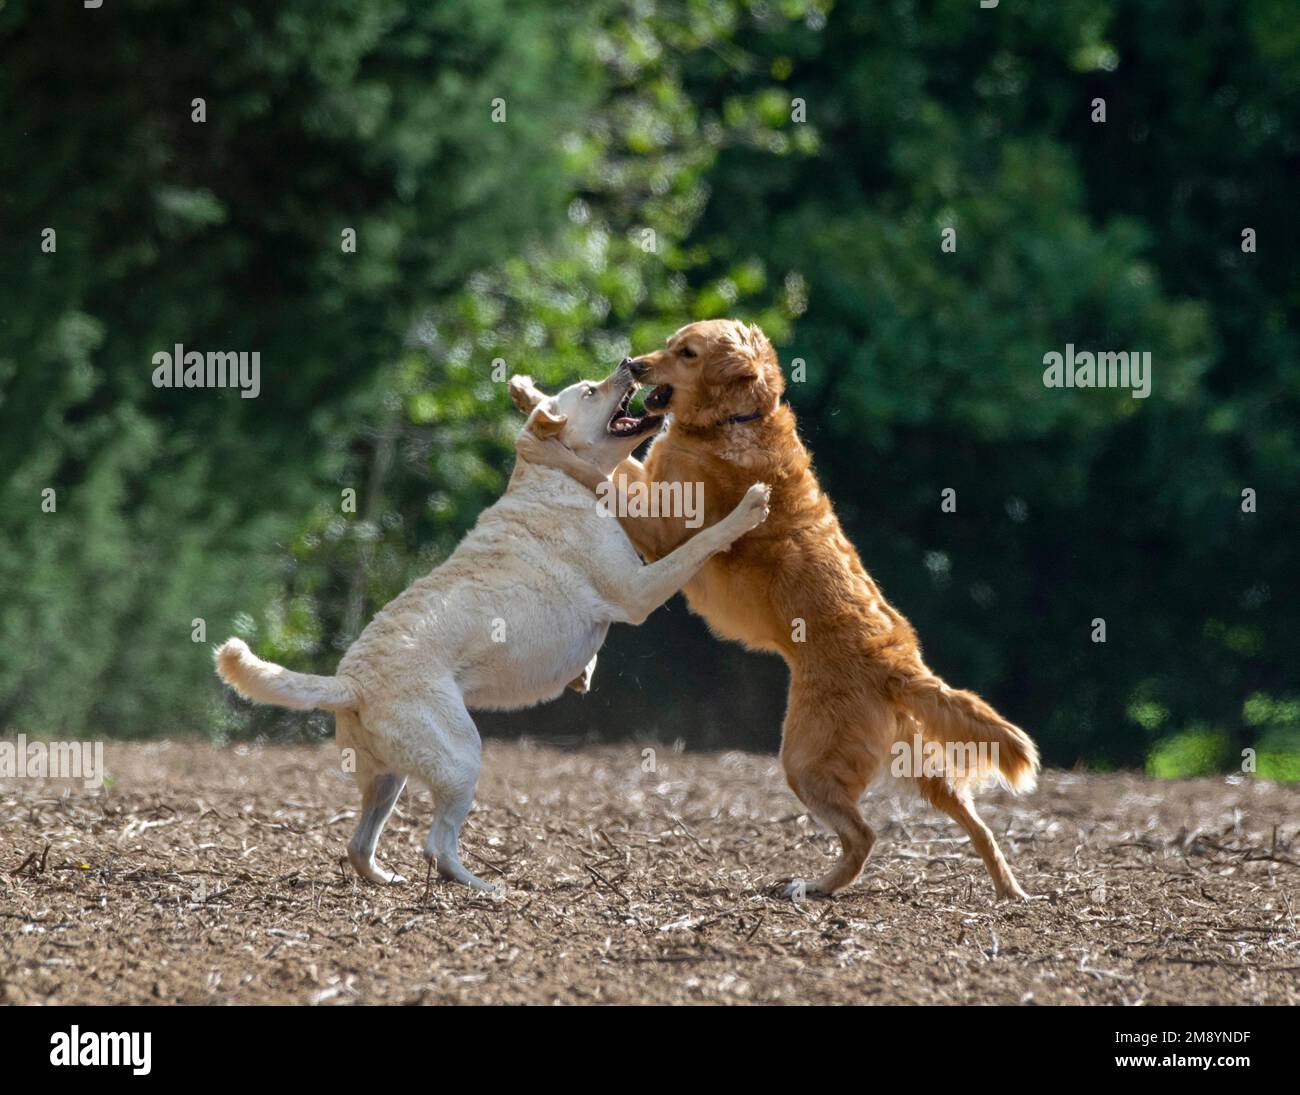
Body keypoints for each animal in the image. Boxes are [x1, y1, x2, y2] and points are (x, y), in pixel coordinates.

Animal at [215, 361, 769, 889]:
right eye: (591, 390)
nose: (630, 362)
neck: (555, 478)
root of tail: (350, 681)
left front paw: (583, 674)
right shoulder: (637, 591)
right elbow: (700, 543)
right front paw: (749, 508)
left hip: (387, 777)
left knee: (359, 844)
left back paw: (391, 879)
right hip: (462, 758)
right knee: (436, 845)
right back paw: (483, 888)